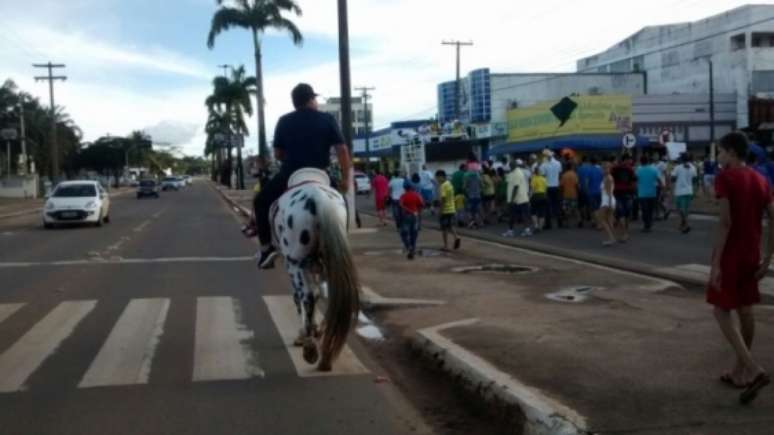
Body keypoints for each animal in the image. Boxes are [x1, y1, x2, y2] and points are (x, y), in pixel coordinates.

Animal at [270, 169, 360, 372]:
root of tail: (318, 198)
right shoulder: (318, 265)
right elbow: (320, 292)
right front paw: (316, 329)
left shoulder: (292, 265)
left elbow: (299, 297)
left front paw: (304, 333)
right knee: (329, 294)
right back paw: (326, 354)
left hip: (296, 262)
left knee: (307, 296)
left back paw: (310, 348)